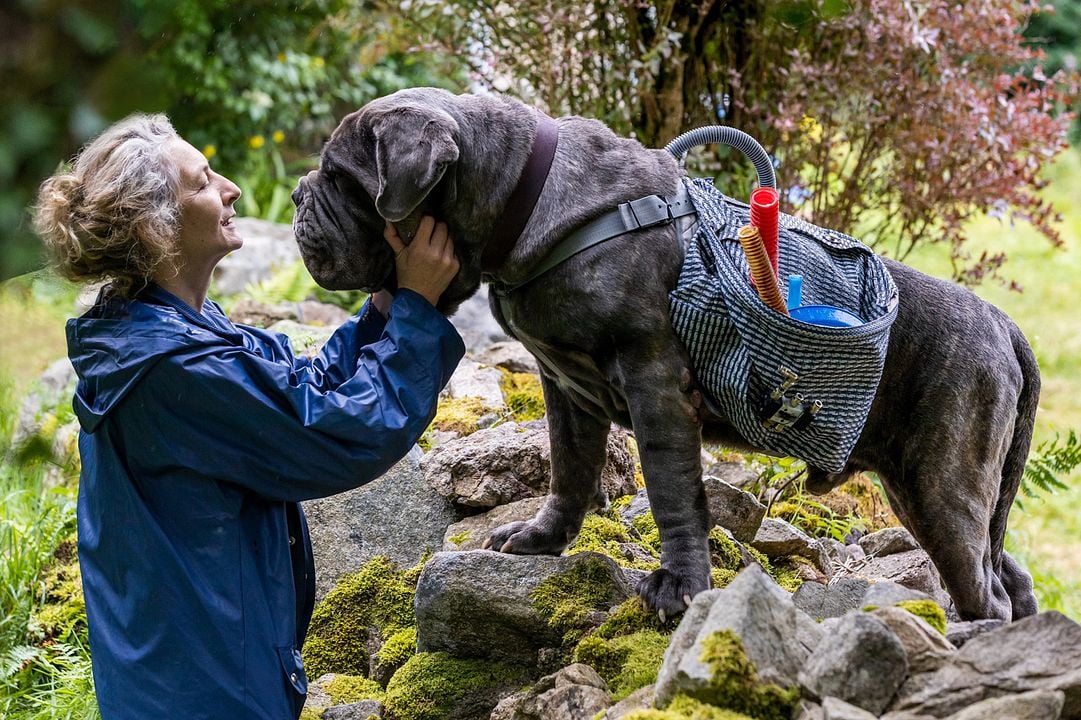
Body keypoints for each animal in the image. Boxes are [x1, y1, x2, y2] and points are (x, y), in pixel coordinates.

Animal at [287, 88, 1037, 618]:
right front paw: (541, 540)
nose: (296, 194)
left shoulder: (654, 385)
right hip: (929, 490)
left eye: (339, 176)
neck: (521, 202)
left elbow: (673, 491)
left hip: (940, 485)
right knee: (1005, 570)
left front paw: (679, 587)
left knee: (984, 588)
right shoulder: (566, 388)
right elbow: (569, 469)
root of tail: (1006, 326)